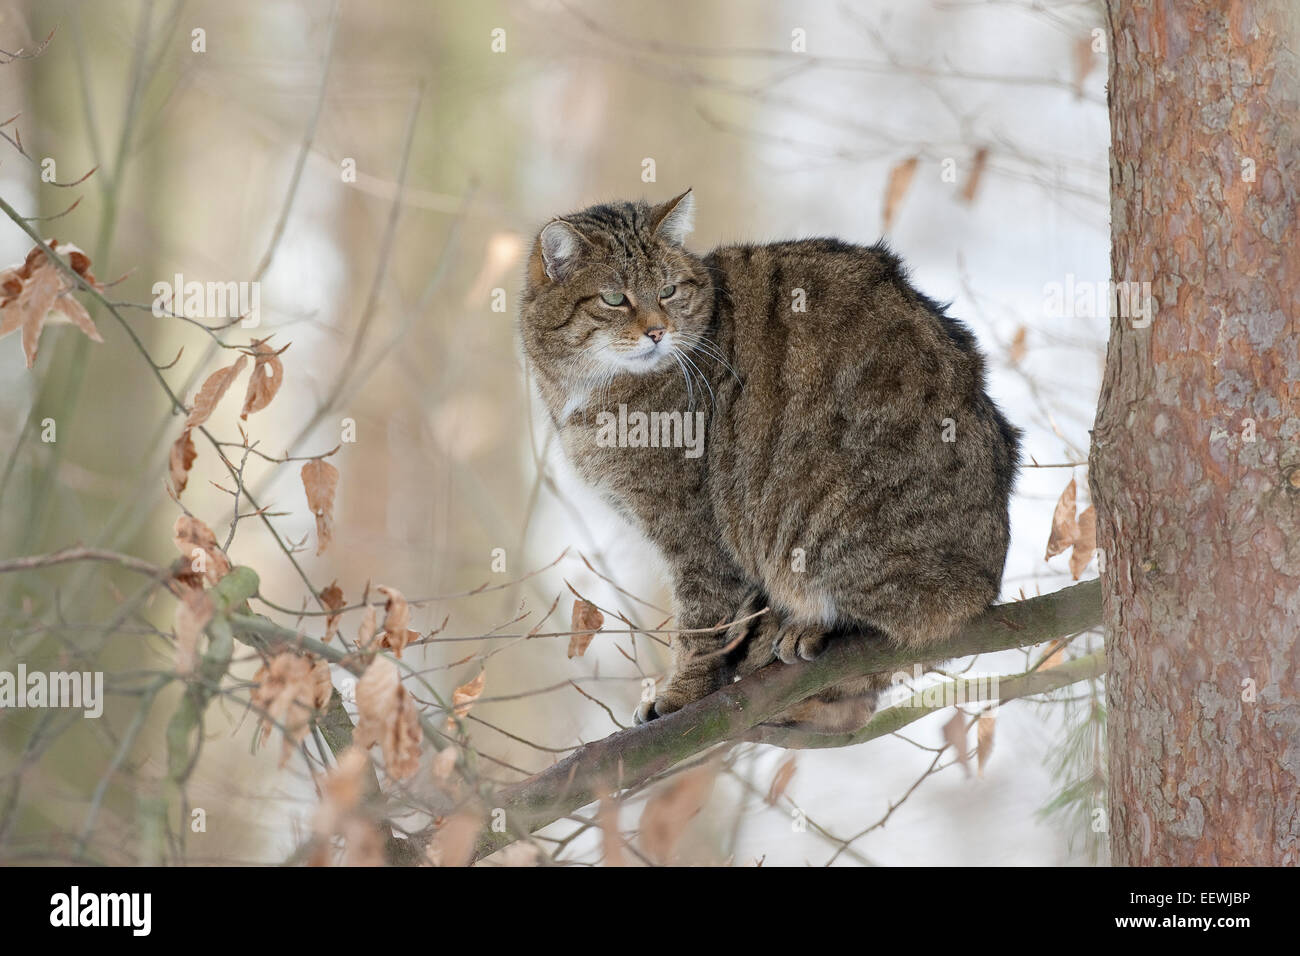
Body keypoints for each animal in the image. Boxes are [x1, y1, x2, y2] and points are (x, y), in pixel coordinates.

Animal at [514, 192, 1013, 733]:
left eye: (668, 291)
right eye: (613, 299)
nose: (657, 332)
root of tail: (987, 583)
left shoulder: (693, 529)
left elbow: (702, 623)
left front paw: (681, 695)